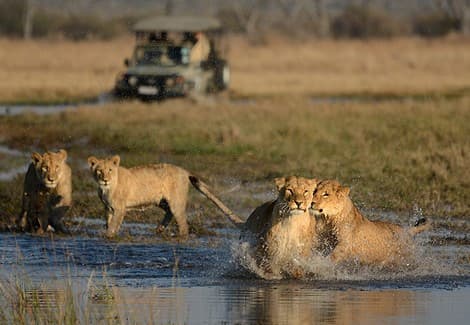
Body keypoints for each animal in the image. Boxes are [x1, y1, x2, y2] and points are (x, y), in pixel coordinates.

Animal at [86, 154, 244, 238]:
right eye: (99, 170)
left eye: (110, 170)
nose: (105, 179)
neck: (106, 188)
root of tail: (184, 171)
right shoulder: (108, 209)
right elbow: (108, 222)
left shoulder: (119, 209)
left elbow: (113, 225)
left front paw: (108, 236)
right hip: (161, 201)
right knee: (169, 213)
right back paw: (159, 229)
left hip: (176, 202)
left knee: (182, 224)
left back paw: (178, 235)